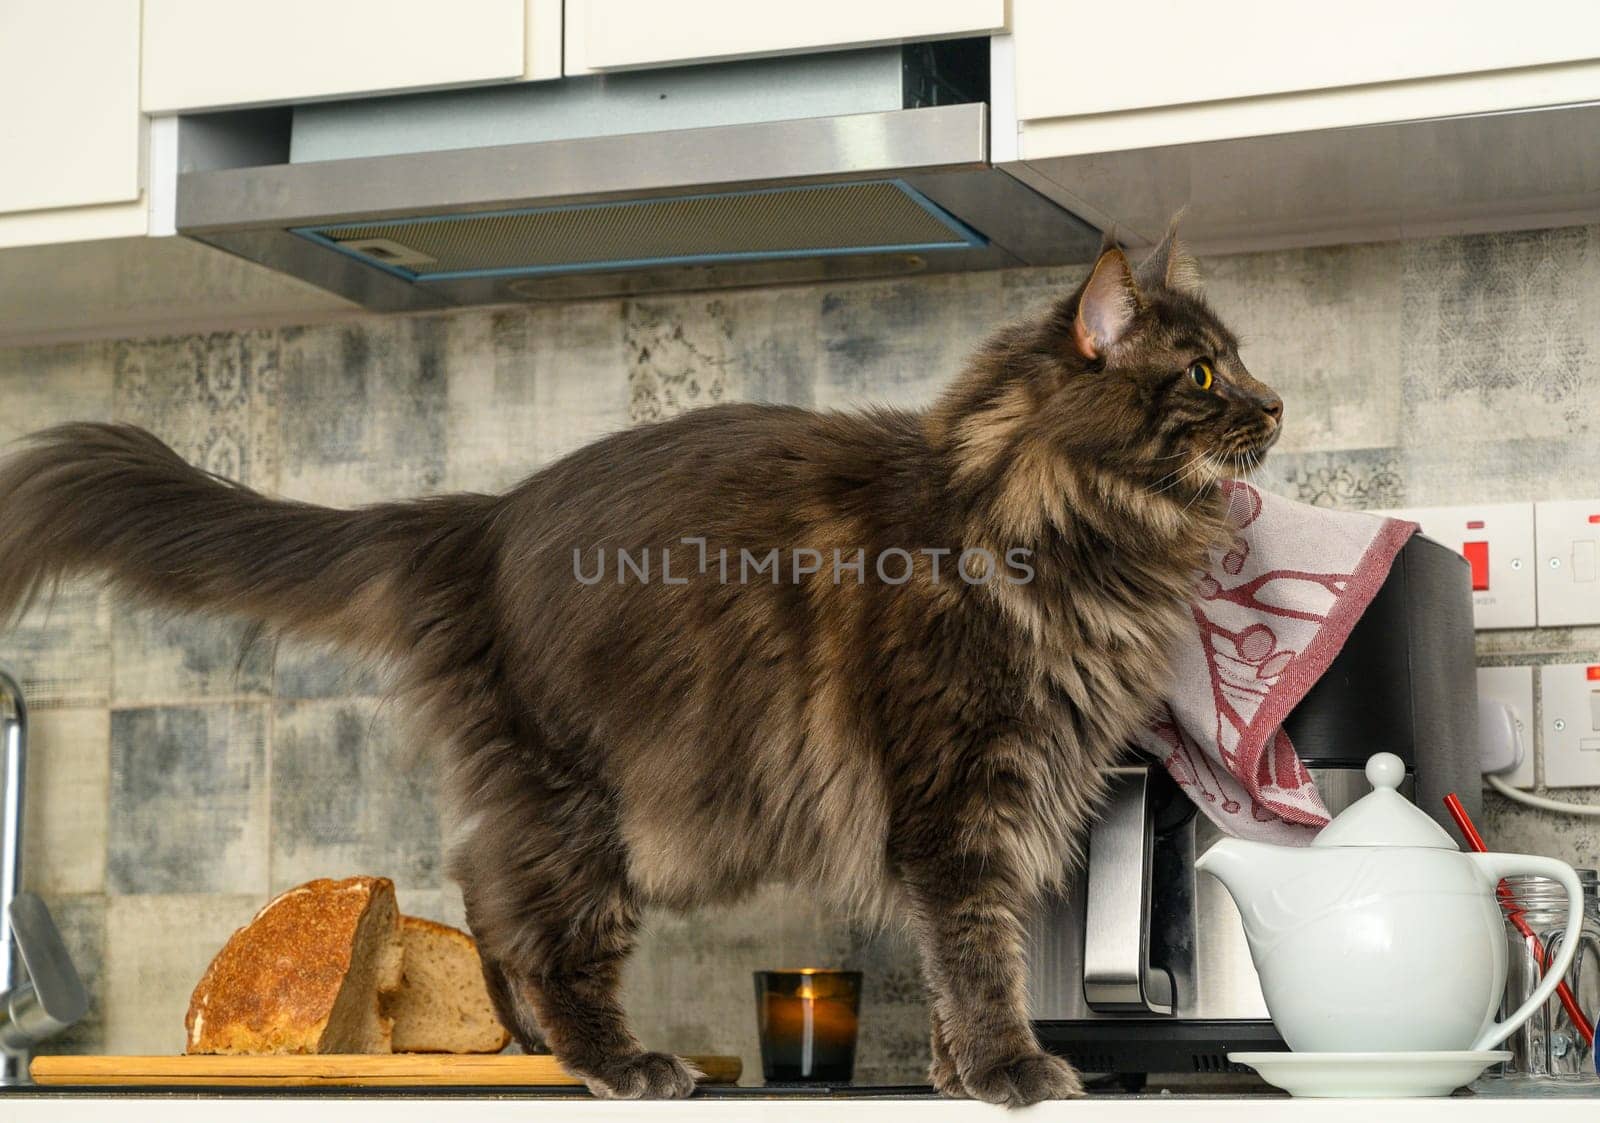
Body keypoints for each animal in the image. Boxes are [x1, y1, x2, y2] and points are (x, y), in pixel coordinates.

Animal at [0, 228, 1280, 1107]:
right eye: (1202, 376)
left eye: (1239, 365)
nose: (1274, 403)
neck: (1042, 518)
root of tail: (478, 519)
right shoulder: (954, 795)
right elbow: (976, 950)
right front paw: (1014, 1071)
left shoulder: (993, 800)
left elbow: (959, 957)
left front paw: (958, 1075)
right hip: (592, 800)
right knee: (531, 916)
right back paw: (617, 1060)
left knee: (482, 886)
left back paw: (521, 1040)